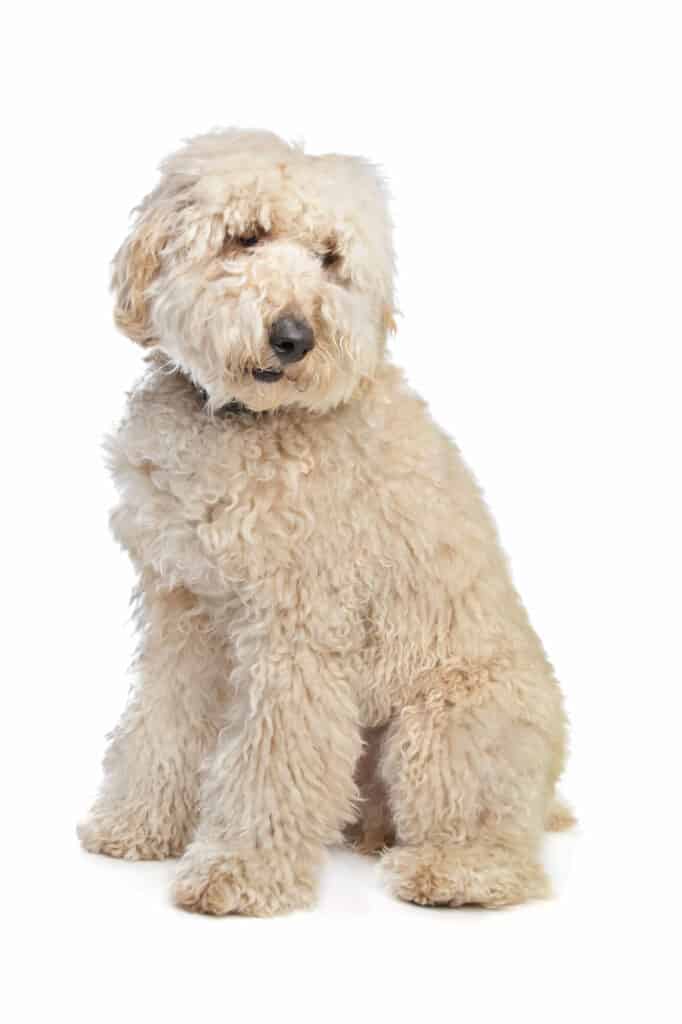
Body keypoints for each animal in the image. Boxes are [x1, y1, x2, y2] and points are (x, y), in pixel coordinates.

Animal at [76, 130, 569, 921]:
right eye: (245, 236)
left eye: (331, 258)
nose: (293, 337)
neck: (249, 425)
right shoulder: (182, 610)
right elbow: (161, 719)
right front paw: (136, 822)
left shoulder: (297, 631)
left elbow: (273, 758)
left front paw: (239, 873)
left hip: (450, 724)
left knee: (499, 846)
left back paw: (451, 873)